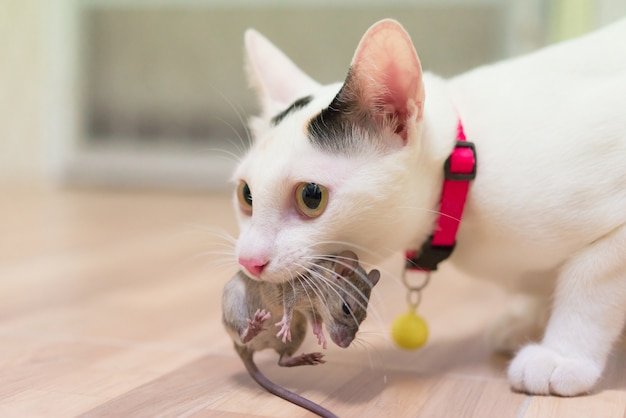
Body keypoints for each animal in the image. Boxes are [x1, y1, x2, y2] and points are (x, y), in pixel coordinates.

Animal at [233, 18, 624, 396]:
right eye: (246, 195)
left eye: (311, 196)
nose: (249, 260)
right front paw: (528, 319)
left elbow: (588, 283)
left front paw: (561, 355)